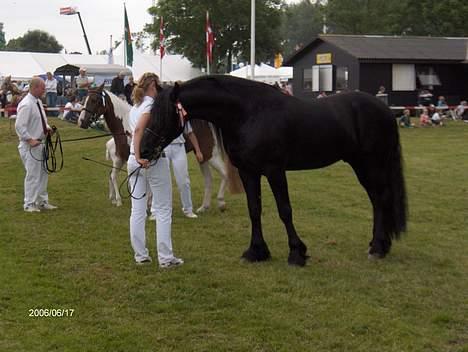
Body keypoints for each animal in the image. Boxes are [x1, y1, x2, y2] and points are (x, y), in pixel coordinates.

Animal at [78, 84, 230, 212]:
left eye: (94, 100)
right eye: (85, 100)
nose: (81, 122)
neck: (128, 127)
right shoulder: (124, 159)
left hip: (211, 155)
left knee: (224, 173)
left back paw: (221, 202)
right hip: (202, 157)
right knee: (209, 179)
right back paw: (204, 207)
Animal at [141, 75, 408, 266]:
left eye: (164, 114)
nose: (143, 149)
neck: (248, 113)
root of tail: (385, 110)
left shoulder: (274, 170)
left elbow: (285, 210)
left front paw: (297, 253)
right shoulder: (249, 172)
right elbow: (254, 210)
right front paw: (256, 251)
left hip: (372, 164)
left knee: (382, 198)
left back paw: (378, 248)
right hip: (360, 165)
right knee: (377, 200)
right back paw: (377, 245)